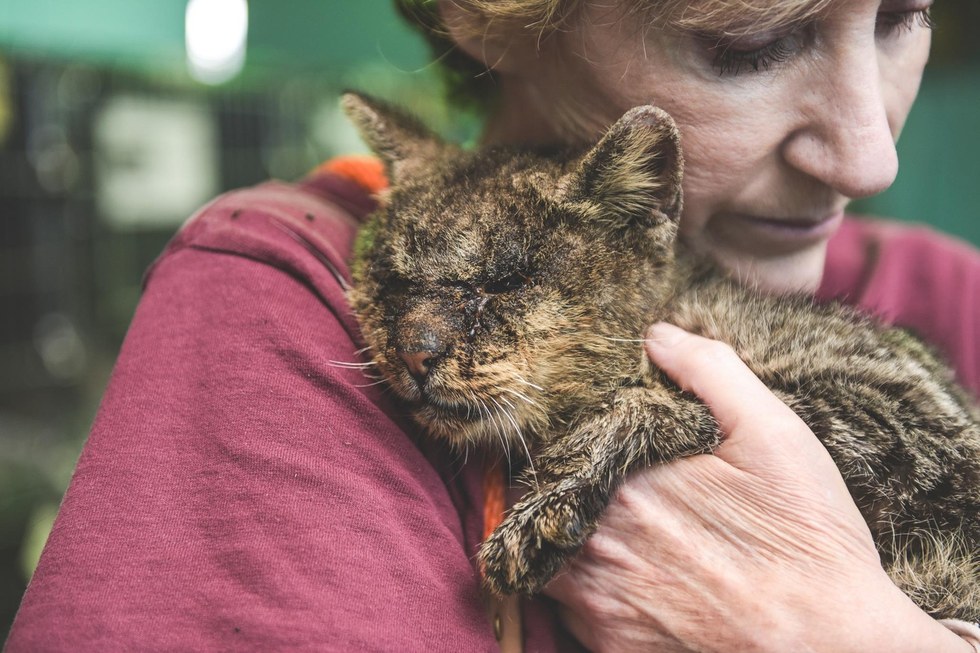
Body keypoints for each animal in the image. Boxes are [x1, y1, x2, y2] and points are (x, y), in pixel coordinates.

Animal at [338, 91, 980, 620]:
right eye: (392, 281)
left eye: (505, 283)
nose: (414, 352)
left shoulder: (918, 427)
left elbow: (653, 400)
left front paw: (544, 511)